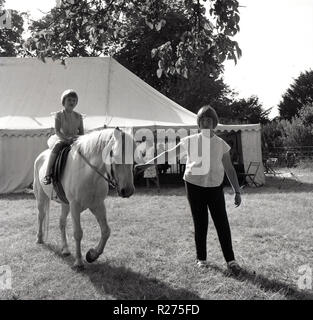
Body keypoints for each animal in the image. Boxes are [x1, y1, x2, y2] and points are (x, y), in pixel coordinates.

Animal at [33, 127, 135, 270]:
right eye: (115, 155)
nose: (128, 190)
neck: (88, 173)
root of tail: (40, 157)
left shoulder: (97, 205)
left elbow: (106, 231)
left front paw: (92, 255)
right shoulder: (75, 206)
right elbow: (78, 233)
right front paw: (79, 262)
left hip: (65, 204)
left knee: (61, 222)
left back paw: (65, 249)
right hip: (41, 196)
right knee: (41, 216)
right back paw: (39, 239)